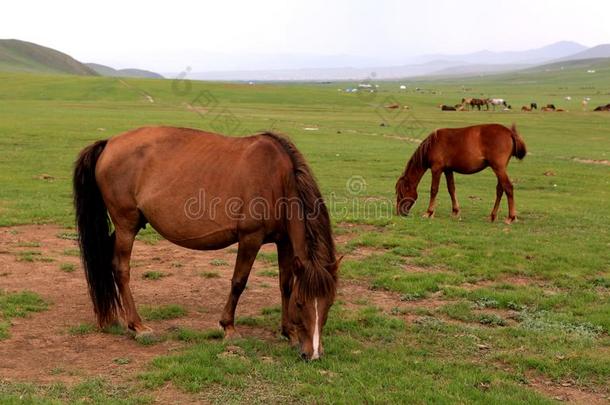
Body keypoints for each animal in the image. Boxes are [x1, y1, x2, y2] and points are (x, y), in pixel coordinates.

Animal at [74, 126, 340, 360]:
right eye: (301, 303)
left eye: (329, 303)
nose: (313, 354)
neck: (278, 178)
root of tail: (109, 143)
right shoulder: (250, 238)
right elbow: (239, 282)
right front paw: (229, 327)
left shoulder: (284, 242)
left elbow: (285, 284)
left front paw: (288, 332)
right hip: (126, 226)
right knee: (120, 269)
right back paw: (137, 325)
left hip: (130, 225)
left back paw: (110, 317)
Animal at [392, 123, 524, 224]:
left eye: (401, 194)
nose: (399, 212)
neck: (432, 144)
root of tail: (509, 132)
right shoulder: (448, 170)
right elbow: (451, 189)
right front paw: (455, 211)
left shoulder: (436, 169)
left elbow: (434, 189)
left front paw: (429, 212)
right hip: (499, 169)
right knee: (500, 189)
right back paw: (493, 216)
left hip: (499, 168)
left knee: (508, 187)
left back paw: (511, 217)